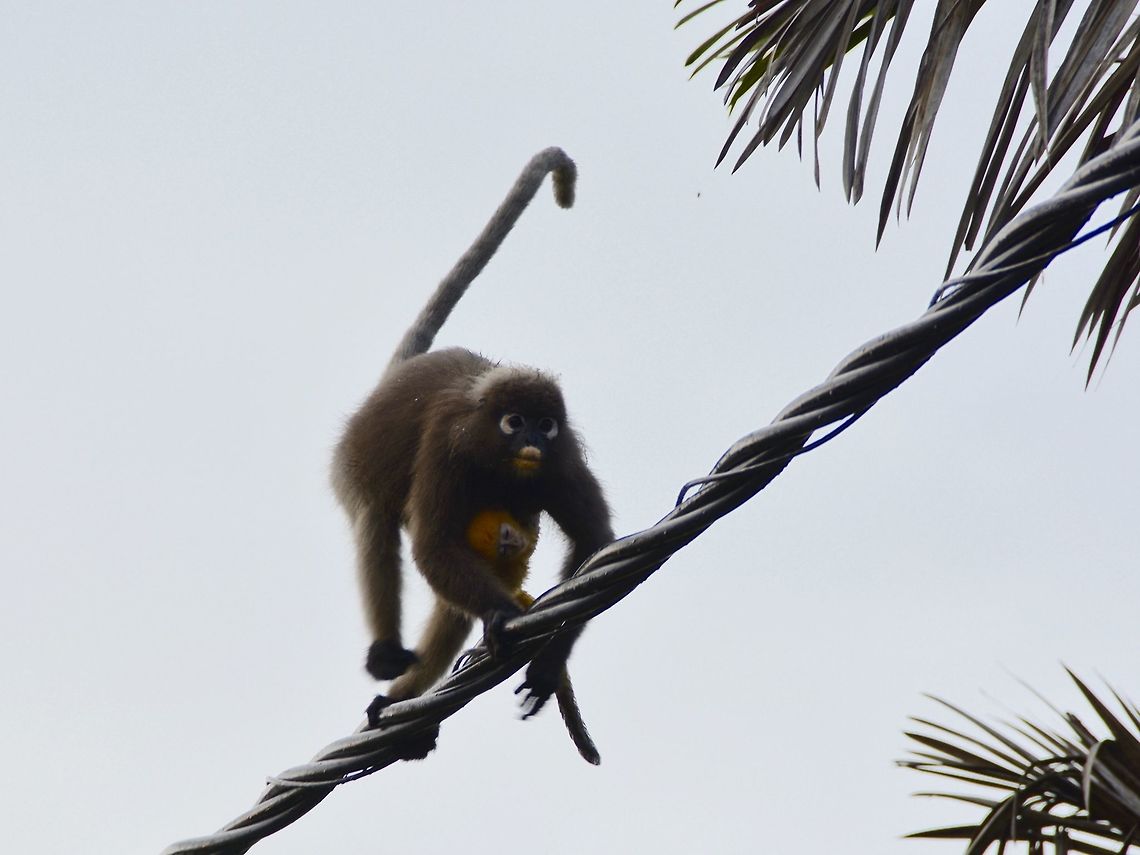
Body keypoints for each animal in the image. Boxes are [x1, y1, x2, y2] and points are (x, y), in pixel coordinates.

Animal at [331, 147, 613, 761]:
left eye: (545, 424)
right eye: (515, 422)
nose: (532, 440)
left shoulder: (558, 462)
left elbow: (592, 543)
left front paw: (547, 664)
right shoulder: (449, 447)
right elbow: (431, 544)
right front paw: (503, 615)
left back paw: (405, 701)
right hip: (357, 458)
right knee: (378, 523)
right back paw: (388, 660)